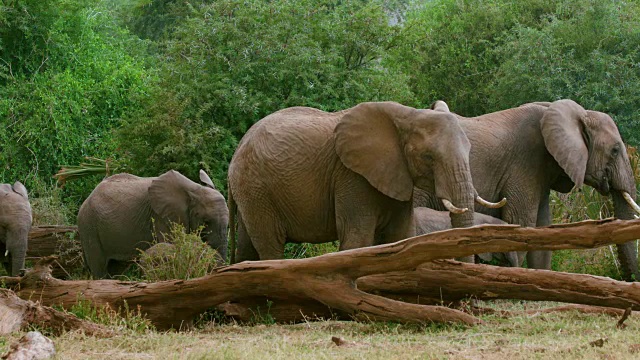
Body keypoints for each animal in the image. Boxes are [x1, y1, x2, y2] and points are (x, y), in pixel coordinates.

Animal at [77, 169, 229, 278]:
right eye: (206, 222)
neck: (194, 189)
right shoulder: (160, 215)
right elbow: (171, 242)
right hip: (88, 226)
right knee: (99, 268)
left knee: (116, 268)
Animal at [228, 100, 502, 262]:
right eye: (428, 157)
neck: (407, 116)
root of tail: (238, 147)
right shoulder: (351, 175)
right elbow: (357, 238)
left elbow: (402, 235)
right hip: (257, 188)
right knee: (271, 245)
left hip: (251, 192)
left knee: (246, 246)